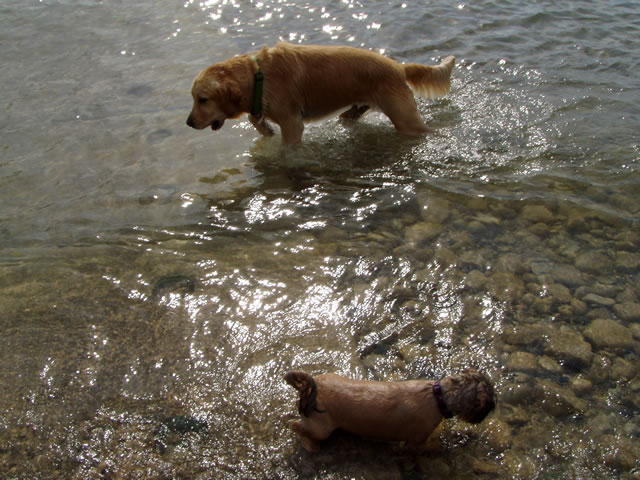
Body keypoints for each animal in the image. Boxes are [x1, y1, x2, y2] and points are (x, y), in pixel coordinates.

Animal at [186, 42, 455, 144]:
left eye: (203, 100)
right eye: (193, 99)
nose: (188, 122)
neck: (258, 76)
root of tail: (399, 67)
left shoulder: (292, 123)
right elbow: (256, 118)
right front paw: (265, 129)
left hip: (406, 120)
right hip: (357, 109)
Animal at [284, 368, 495, 451]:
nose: (491, 408)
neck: (438, 395)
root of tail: (311, 386)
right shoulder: (417, 440)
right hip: (322, 429)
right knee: (296, 426)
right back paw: (310, 445)